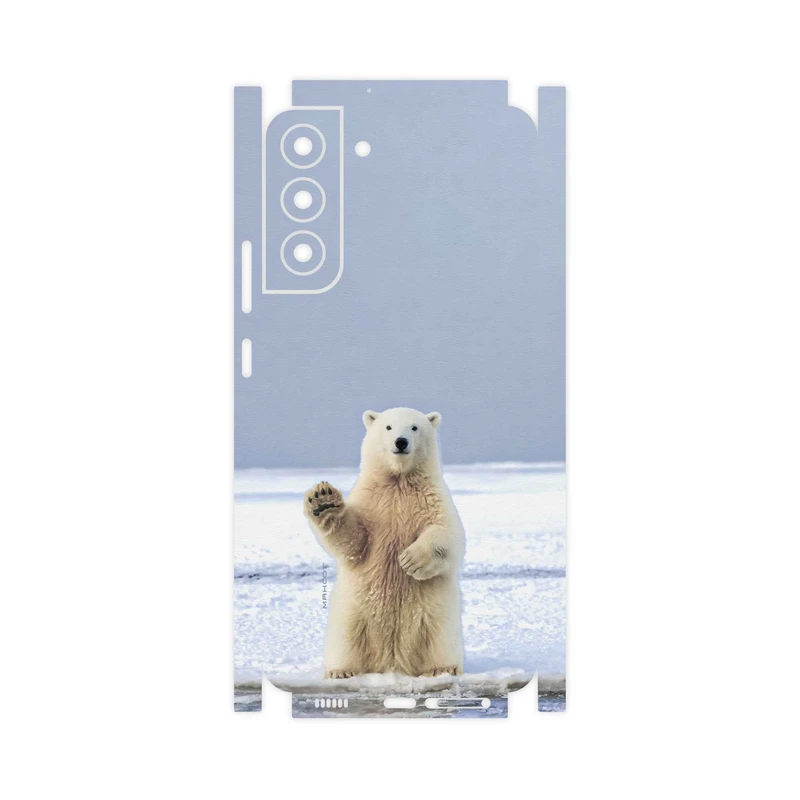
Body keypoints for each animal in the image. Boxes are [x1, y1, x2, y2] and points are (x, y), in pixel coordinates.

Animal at [304, 407, 465, 679]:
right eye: (388, 427)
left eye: (414, 427)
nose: (401, 442)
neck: (398, 481)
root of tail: (392, 662)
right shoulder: (372, 503)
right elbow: (353, 540)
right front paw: (323, 501)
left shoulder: (432, 499)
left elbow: (448, 534)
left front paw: (410, 560)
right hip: (352, 613)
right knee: (345, 640)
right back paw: (340, 671)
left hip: (437, 615)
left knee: (440, 638)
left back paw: (443, 668)